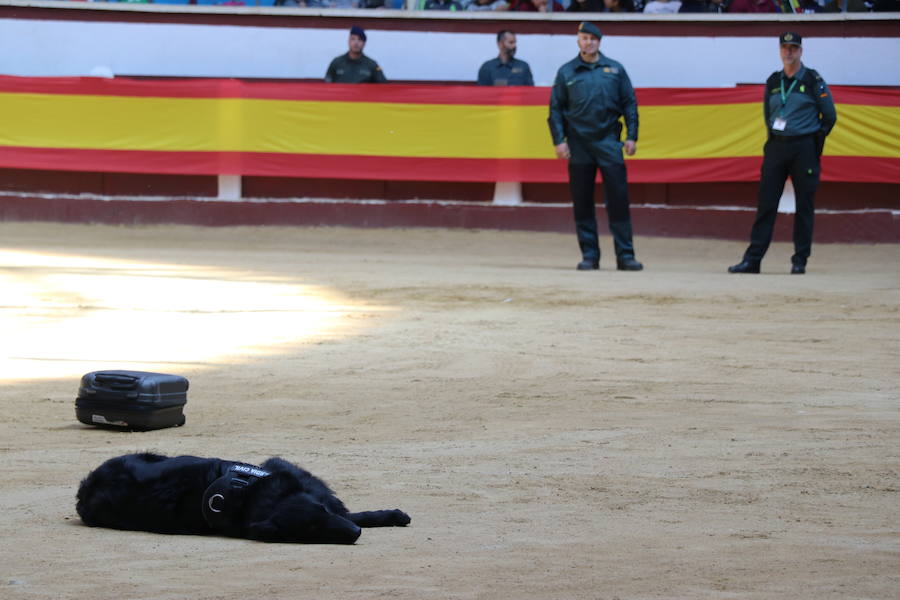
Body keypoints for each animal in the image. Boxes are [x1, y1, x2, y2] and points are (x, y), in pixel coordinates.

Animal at [77, 454, 412, 544]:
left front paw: (392, 516)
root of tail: (85, 487)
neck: (254, 495)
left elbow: (353, 511)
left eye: (322, 511)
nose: (356, 534)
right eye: (310, 531)